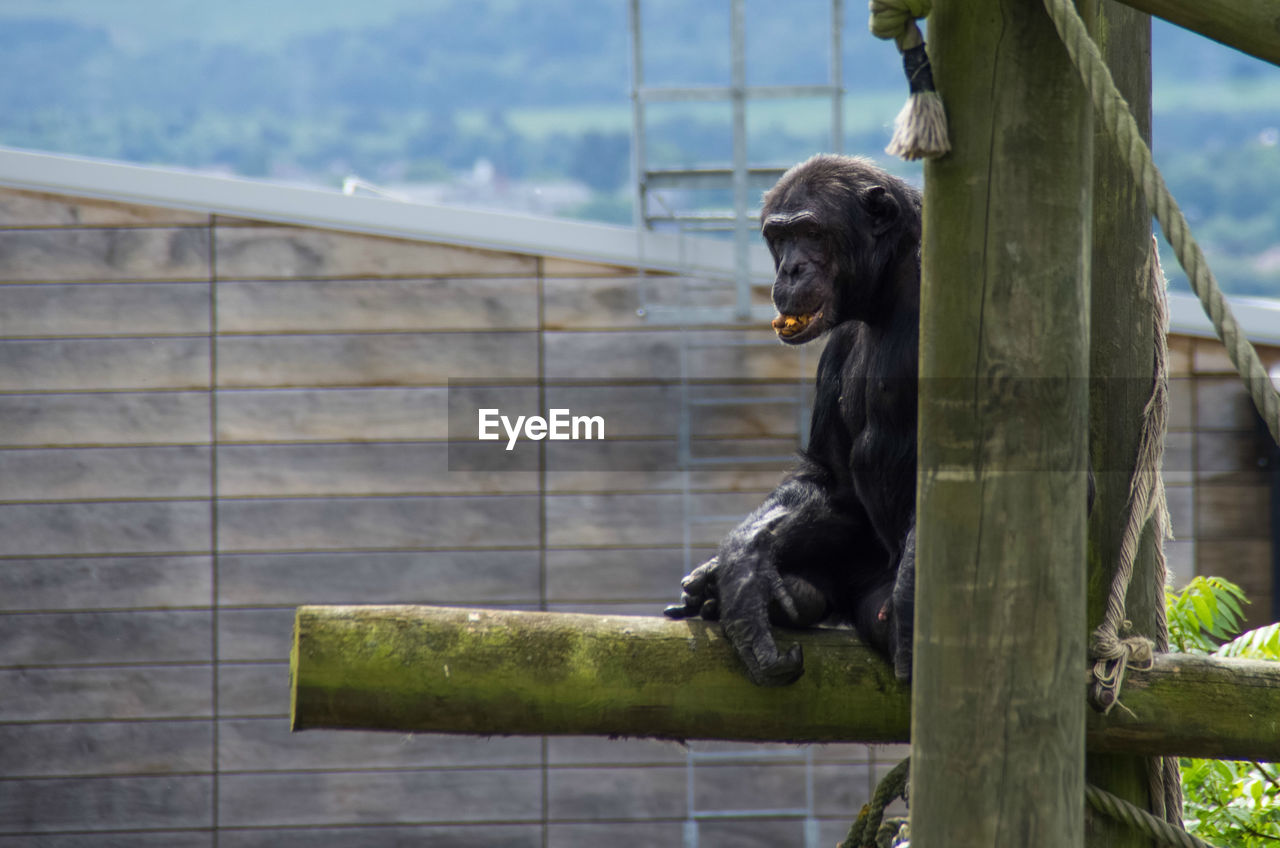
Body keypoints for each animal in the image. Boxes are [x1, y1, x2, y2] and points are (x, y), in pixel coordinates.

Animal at [665, 154, 926, 686]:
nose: (791, 268)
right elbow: (833, 481)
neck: (889, 291)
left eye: (812, 232)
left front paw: (914, 608)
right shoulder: (837, 342)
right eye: (779, 238)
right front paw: (743, 568)